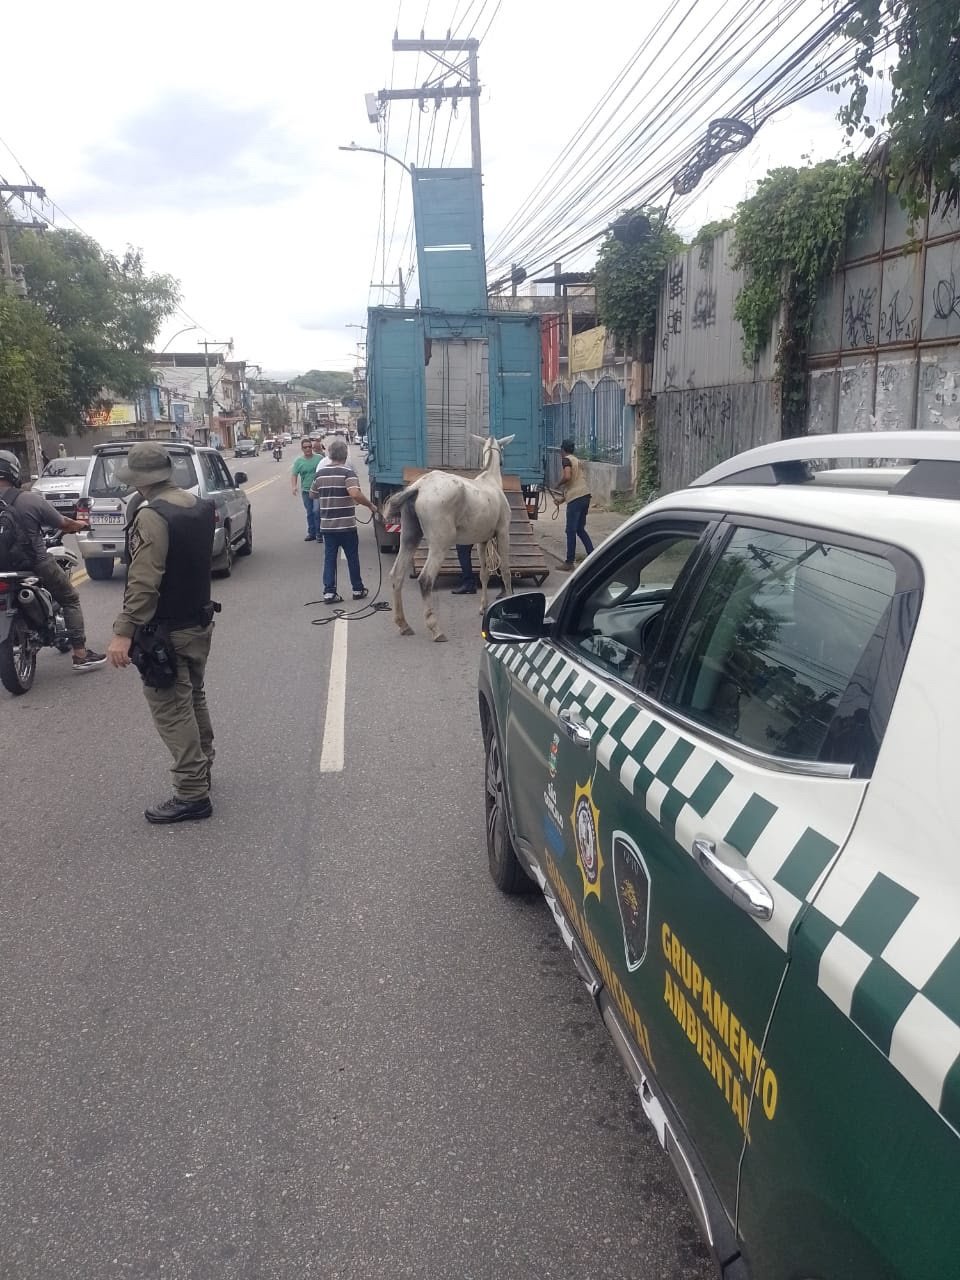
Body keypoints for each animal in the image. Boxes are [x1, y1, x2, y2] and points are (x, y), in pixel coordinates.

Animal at [386, 435, 519, 645]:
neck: (490, 482)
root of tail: (419, 488)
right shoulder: (503, 533)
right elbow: (505, 571)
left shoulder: (482, 541)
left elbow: (484, 574)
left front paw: (483, 607)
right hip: (440, 545)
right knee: (425, 579)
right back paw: (436, 629)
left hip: (409, 539)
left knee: (397, 574)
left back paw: (403, 624)